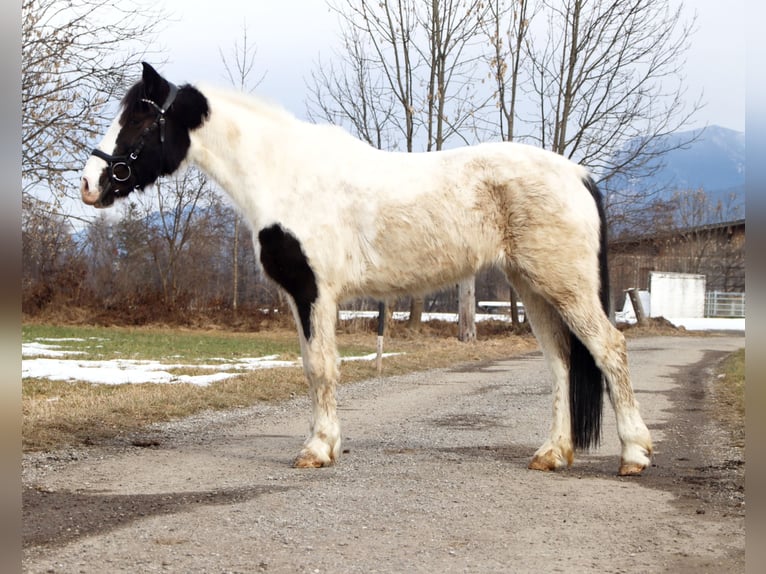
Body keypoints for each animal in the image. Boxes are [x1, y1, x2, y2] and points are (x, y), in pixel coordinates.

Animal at [80, 63, 652, 475]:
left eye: (139, 119)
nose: (90, 183)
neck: (285, 173)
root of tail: (578, 174)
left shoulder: (313, 291)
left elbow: (320, 368)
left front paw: (316, 450)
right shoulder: (302, 297)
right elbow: (315, 366)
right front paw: (328, 445)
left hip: (566, 287)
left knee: (609, 350)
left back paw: (633, 456)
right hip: (534, 288)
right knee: (561, 363)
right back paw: (552, 454)